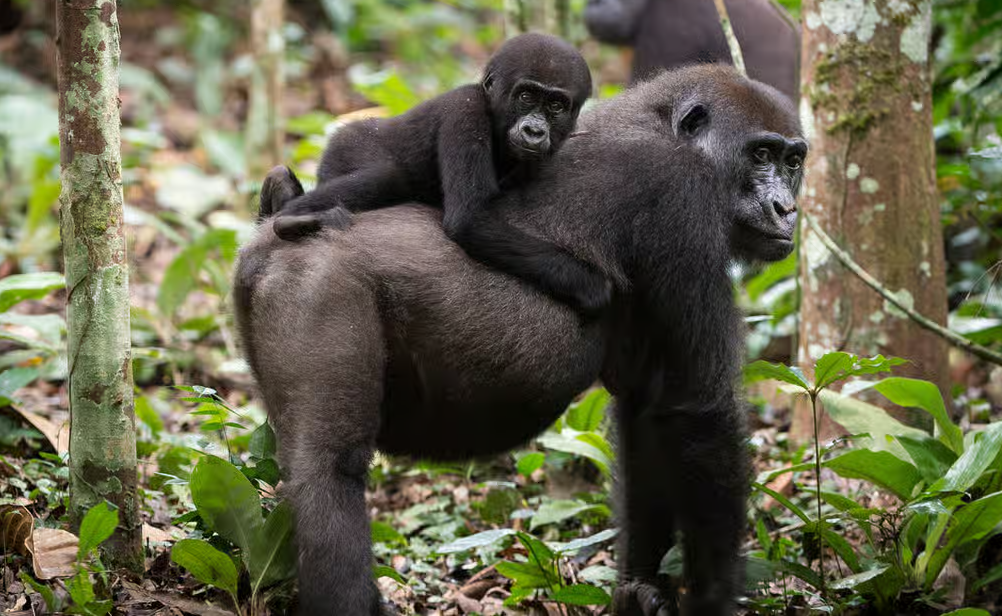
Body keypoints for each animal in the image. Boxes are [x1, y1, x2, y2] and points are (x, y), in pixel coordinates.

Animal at [234, 64, 806, 616]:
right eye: (760, 155)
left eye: (794, 162)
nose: (786, 210)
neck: (661, 122)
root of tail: (265, 240)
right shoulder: (683, 200)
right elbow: (700, 411)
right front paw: (712, 597)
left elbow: (649, 414)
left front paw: (642, 590)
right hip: (320, 285)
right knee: (330, 472)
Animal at [268, 33, 611, 315]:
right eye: (525, 96)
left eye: (556, 105)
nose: (534, 131)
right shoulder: (465, 111)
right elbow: (470, 219)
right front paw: (590, 284)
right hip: (346, 146)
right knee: (388, 175)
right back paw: (292, 216)